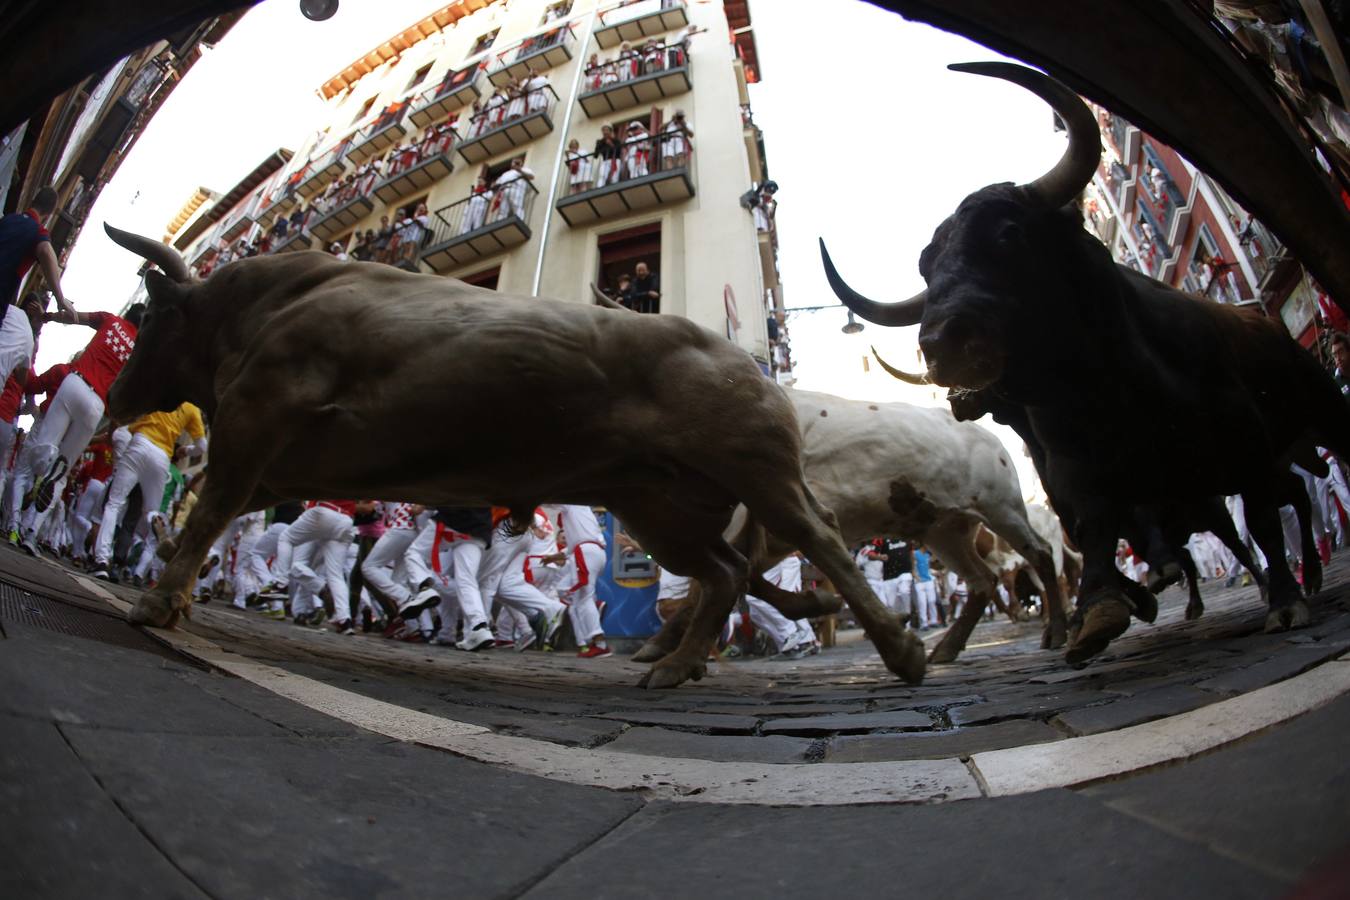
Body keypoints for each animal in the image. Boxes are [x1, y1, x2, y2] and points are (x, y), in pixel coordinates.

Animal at [99, 225, 928, 690]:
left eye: (149, 318)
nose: (116, 399)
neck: (263, 308)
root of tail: (742, 357)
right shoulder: (268, 459)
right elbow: (209, 514)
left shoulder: (256, 423)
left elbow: (207, 510)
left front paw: (157, 602)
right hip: (659, 507)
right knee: (724, 573)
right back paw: (676, 663)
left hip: (758, 470)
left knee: (818, 540)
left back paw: (901, 650)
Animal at [815, 61, 1350, 661]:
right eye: (927, 270)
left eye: (1009, 233)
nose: (941, 344)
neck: (1116, 388)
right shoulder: (1078, 477)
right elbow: (1096, 533)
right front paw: (1102, 609)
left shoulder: (1245, 446)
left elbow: (1258, 522)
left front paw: (1282, 600)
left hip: (1323, 415)